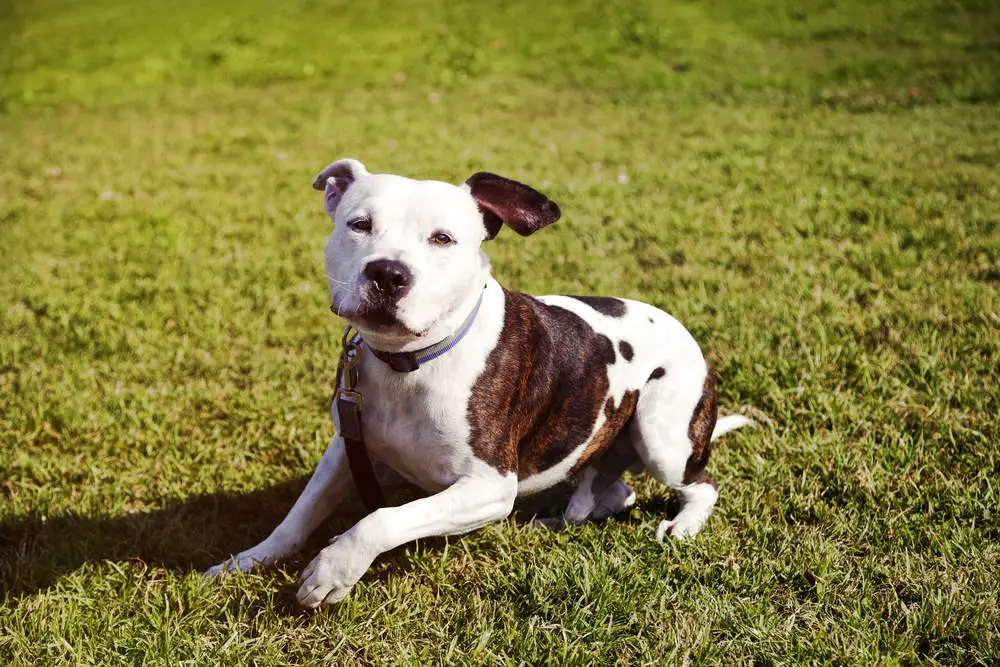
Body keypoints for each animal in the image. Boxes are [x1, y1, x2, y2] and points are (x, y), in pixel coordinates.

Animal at [205, 159, 752, 608]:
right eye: (359, 225)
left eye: (442, 239)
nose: (388, 272)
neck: (411, 363)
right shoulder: (346, 446)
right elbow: (298, 517)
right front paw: (245, 560)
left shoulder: (488, 487)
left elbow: (382, 518)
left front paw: (334, 569)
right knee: (615, 495)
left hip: (663, 439)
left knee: (702, 485)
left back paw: (683, 525)